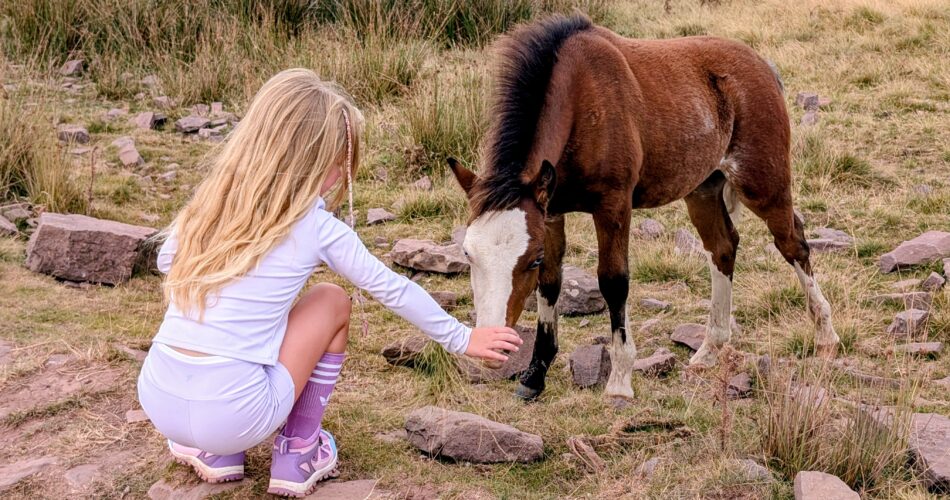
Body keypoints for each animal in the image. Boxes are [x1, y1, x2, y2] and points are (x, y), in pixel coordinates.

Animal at [447, 14, 838, 401]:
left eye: (532, 259)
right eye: (467, 254)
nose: (491, 350)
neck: (581, 101)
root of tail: (762, 66)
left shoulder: (614, 206)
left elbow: (613, 281)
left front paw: (620, 380)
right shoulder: (551, 213)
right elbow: (551, 285)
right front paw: (534, 375)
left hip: (762, 184)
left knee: (792, 242)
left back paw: (825, 336)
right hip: (703, 189)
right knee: (723, 248)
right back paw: (710, 349)